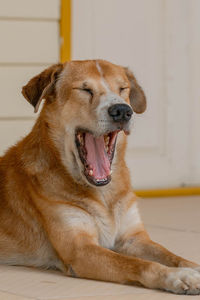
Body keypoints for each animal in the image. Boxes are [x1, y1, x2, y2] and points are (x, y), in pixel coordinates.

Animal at [0, 59, 200, 294]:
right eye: (85, 90)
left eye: (122, 89)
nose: (123, 111)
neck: (104, 193)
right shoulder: (80, 250)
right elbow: (138, 264)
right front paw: (177, 276)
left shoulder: (133, 239)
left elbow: (173, 256)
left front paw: (190, 267)